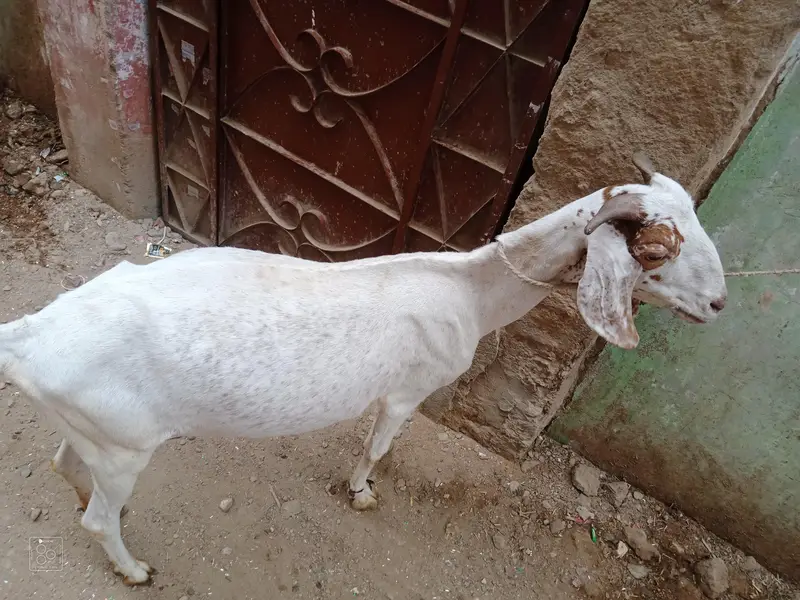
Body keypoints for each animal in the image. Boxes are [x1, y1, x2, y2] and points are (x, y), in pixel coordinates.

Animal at [0, 153, 726, 584]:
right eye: (657, 248)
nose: (718, 304)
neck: (466, 290)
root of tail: (29, 335)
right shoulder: (408, 391)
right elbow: (377, 447)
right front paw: (361, 493)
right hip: (125, 445)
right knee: (98, 520)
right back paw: (134, 569)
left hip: (99, 432)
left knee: (68, 465)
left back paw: (89, 501)